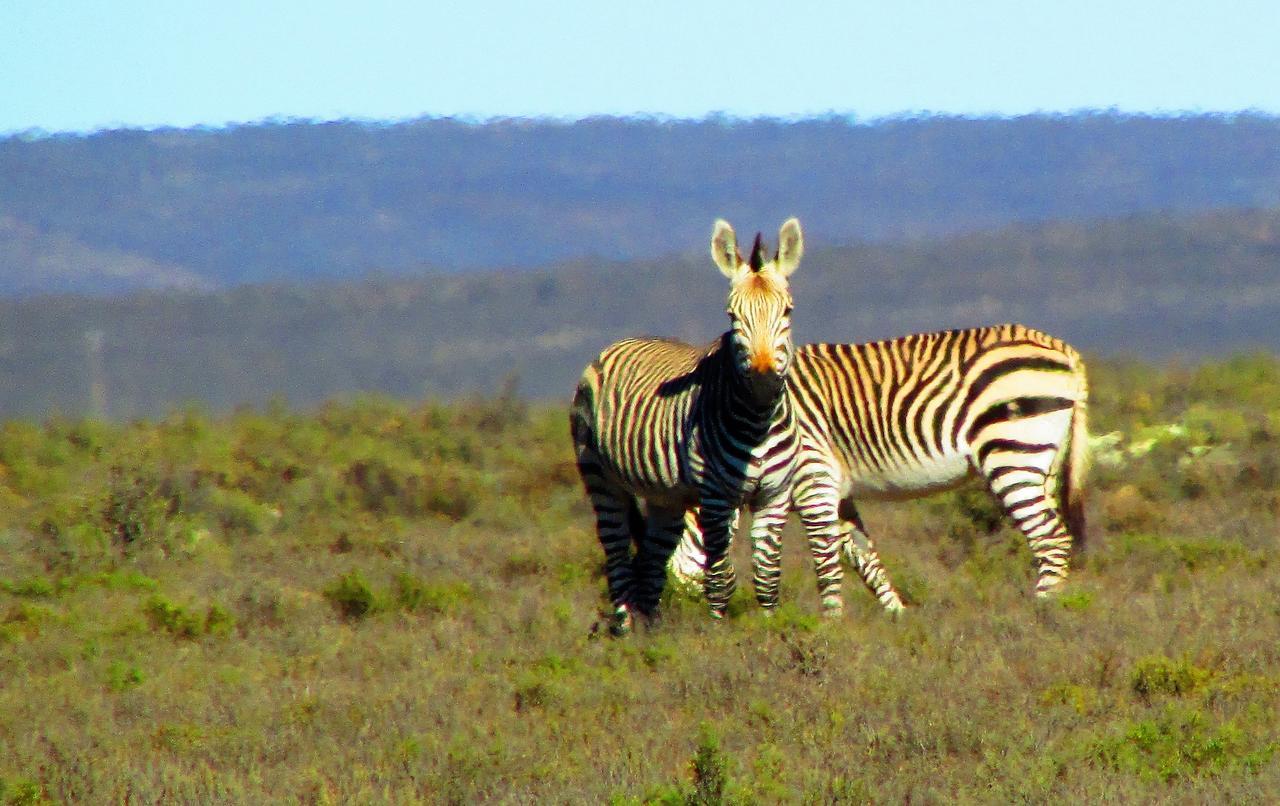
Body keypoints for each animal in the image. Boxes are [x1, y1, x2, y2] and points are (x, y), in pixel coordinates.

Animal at [565, 217, 844, 634]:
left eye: (788, 312)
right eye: (732, 316)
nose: (764, 380)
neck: (758, 423)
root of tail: (619, 342)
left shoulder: (775, 494)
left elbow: (767, 576)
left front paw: (770, 630)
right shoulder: (716, 497)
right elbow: (720, 577)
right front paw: (717, 634)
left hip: (666, 496)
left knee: (650, 562)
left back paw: (653, 634)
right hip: (600, 476)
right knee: (617, 557)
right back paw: (627, 633)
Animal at [670, 324, 1090, 608]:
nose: (674, 627)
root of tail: (1063, 349)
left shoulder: (812, 477)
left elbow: (829, 559)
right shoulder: (834, 490)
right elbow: (863, 558)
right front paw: (897, 618)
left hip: (1012, 454)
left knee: (1052, 539)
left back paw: (1041, 613)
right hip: (1042, 461)